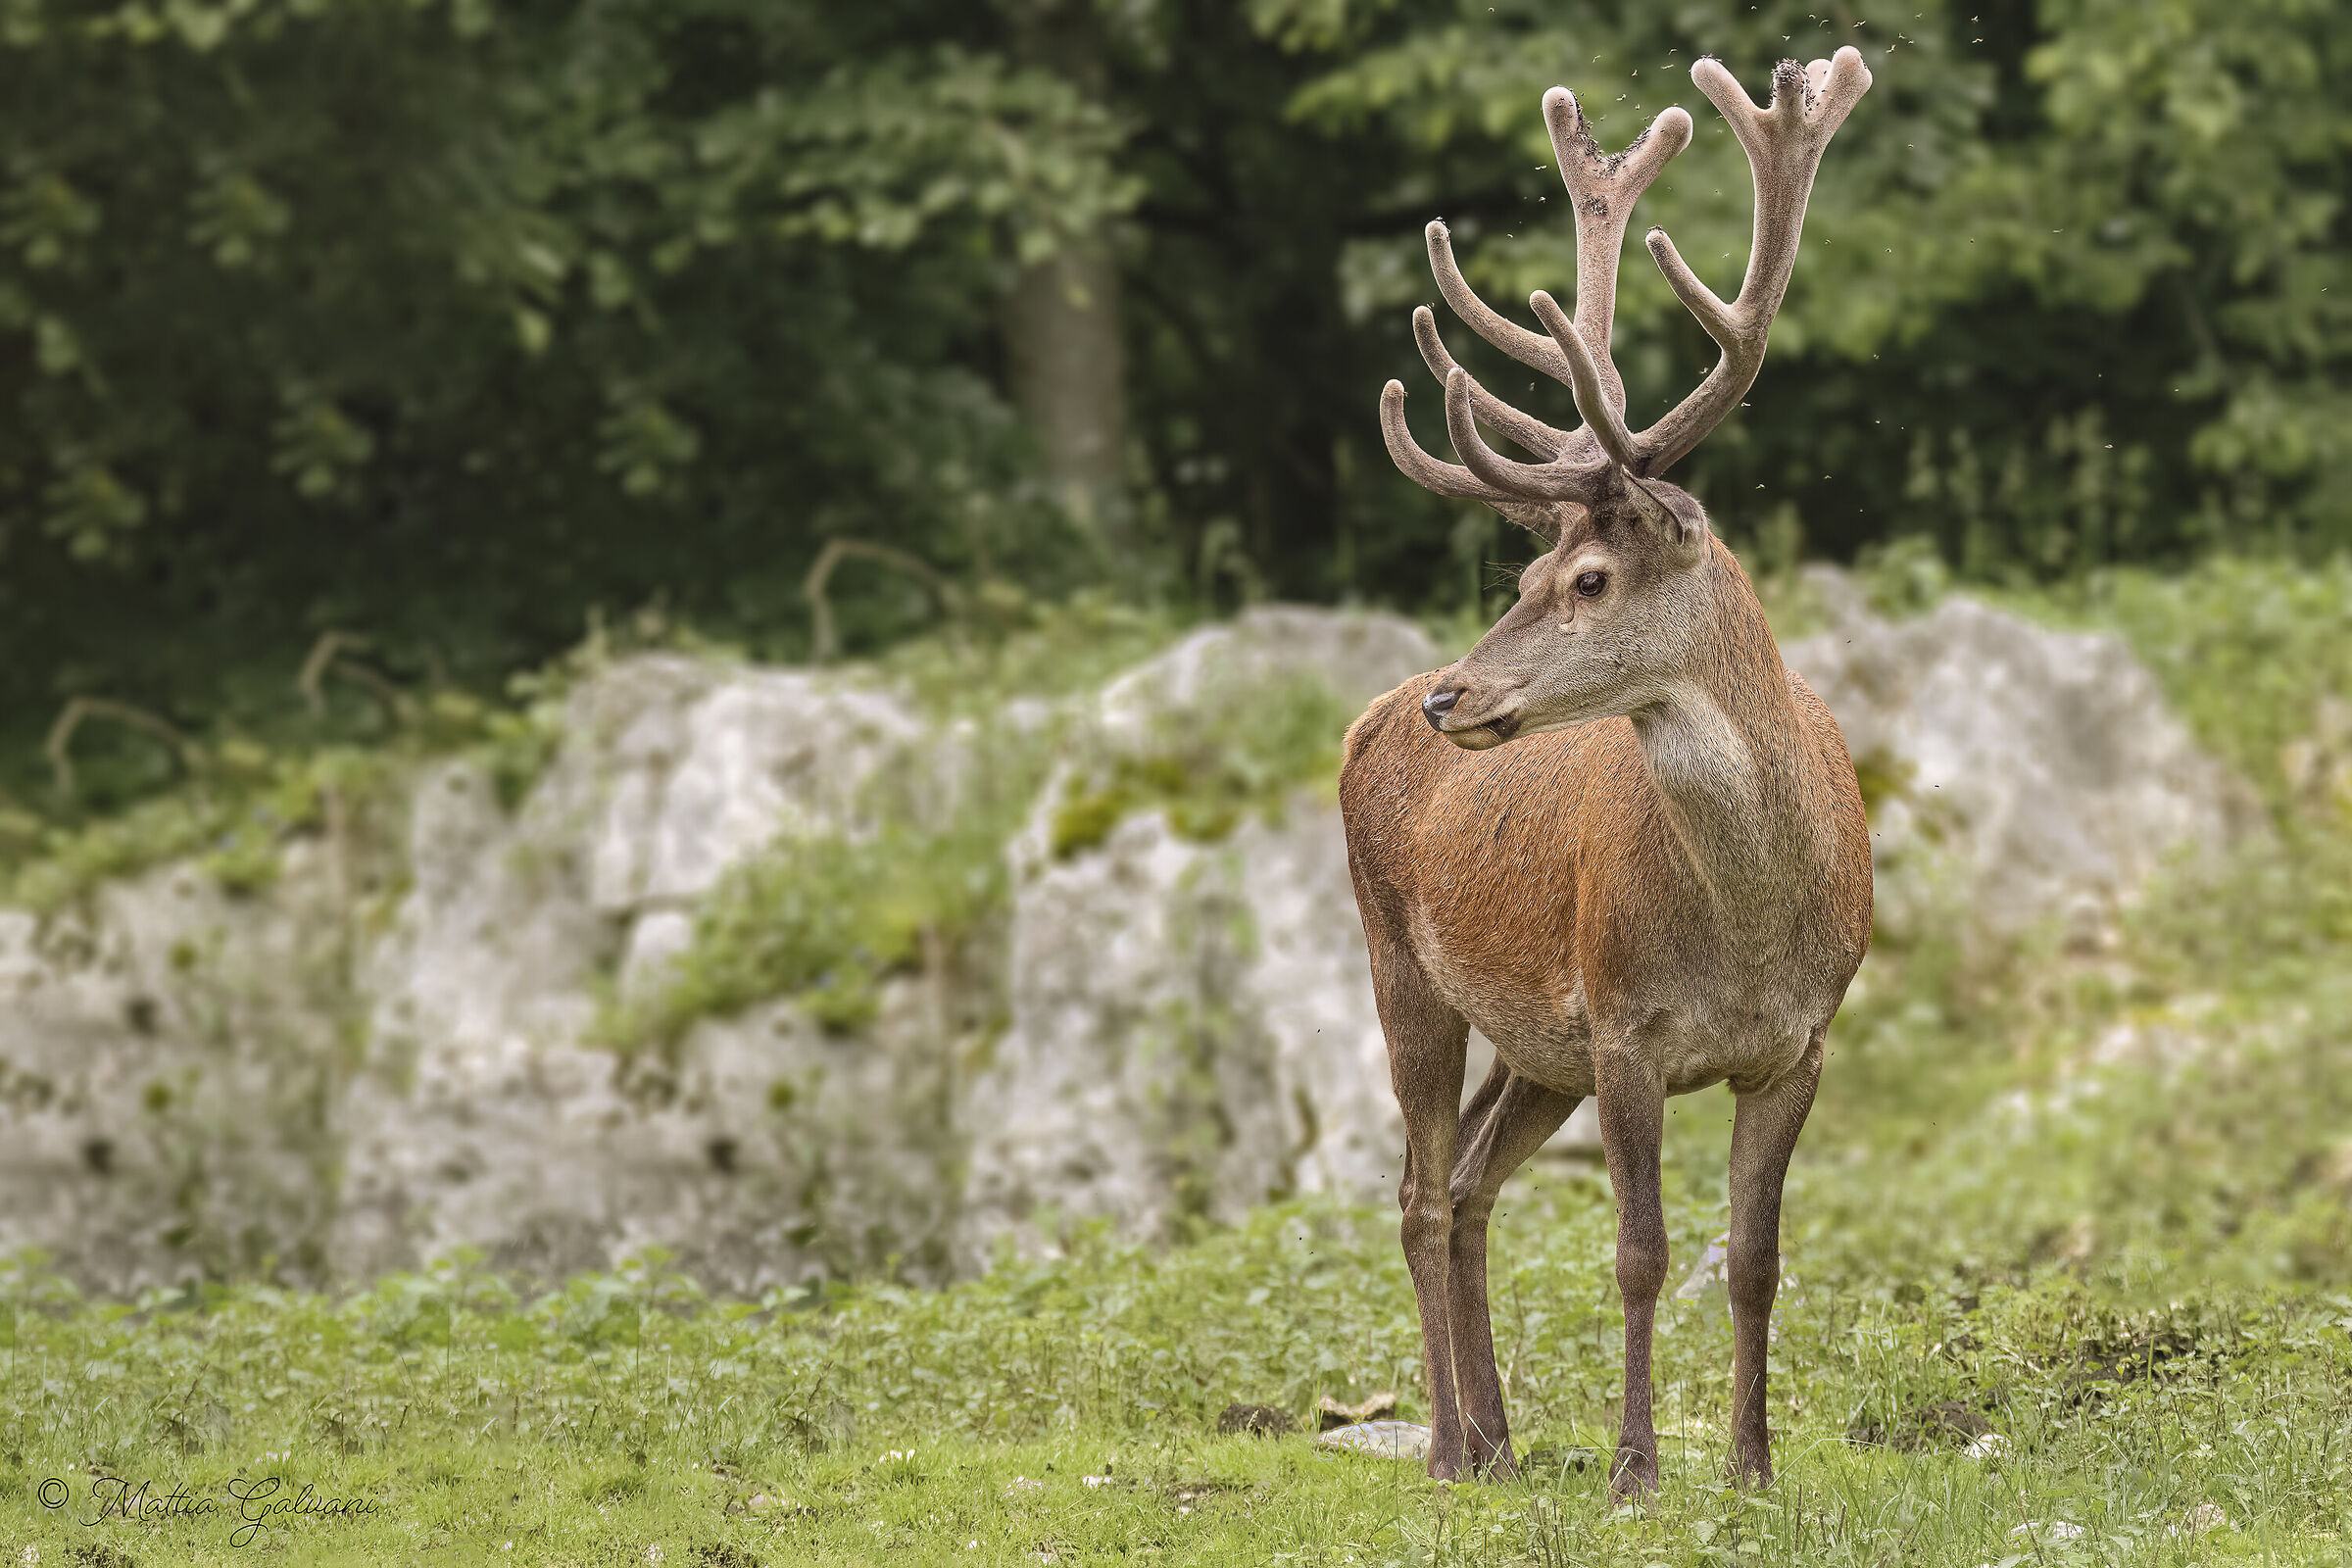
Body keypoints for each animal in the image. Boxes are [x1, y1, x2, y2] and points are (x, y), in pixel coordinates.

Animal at [1338, 49, 1876, 1494]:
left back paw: (1499, 1437)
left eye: (1584, 578)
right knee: (1418, 1190)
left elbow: (1754, 1262)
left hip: (1539, 1045)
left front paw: (1750, 1465)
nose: (1454, 696)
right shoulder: (1627, 1023)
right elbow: (1638, 1254)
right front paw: (1639, 1469)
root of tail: (1362, 720)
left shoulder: (1799, 1043)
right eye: (1524, 574)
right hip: (1402, 962)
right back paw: (1446, 1447)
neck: (1749, 926)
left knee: (1471, 1181)